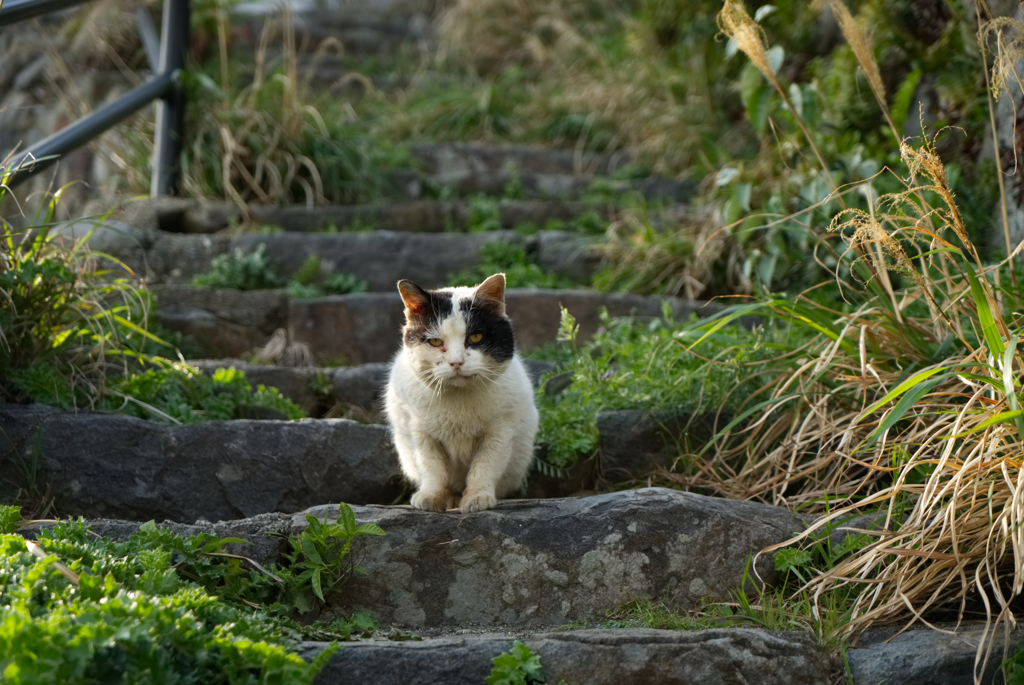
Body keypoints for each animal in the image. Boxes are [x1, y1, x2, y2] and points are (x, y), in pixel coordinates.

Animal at [385, 272, 540, 511]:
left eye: (475, 338)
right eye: (435, 341)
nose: (456, 362)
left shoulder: (500, 431)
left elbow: (485, 465)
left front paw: (477, 498)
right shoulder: (419, 431)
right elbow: (431, 467)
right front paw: (432, 497)